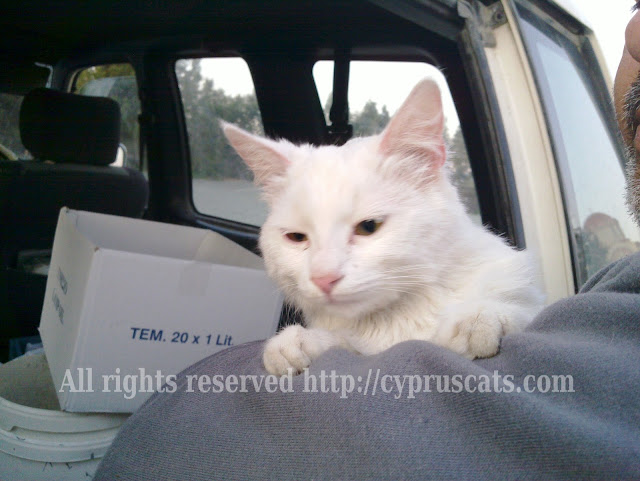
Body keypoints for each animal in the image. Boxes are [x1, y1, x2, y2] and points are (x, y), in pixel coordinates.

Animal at [222, 78, 545, 376]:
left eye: (369, 227)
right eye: (296, 237)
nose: (324, 278)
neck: (395, 319)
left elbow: (522, 310)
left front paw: (479, 319)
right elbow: (344, 343)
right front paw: (296, 343)